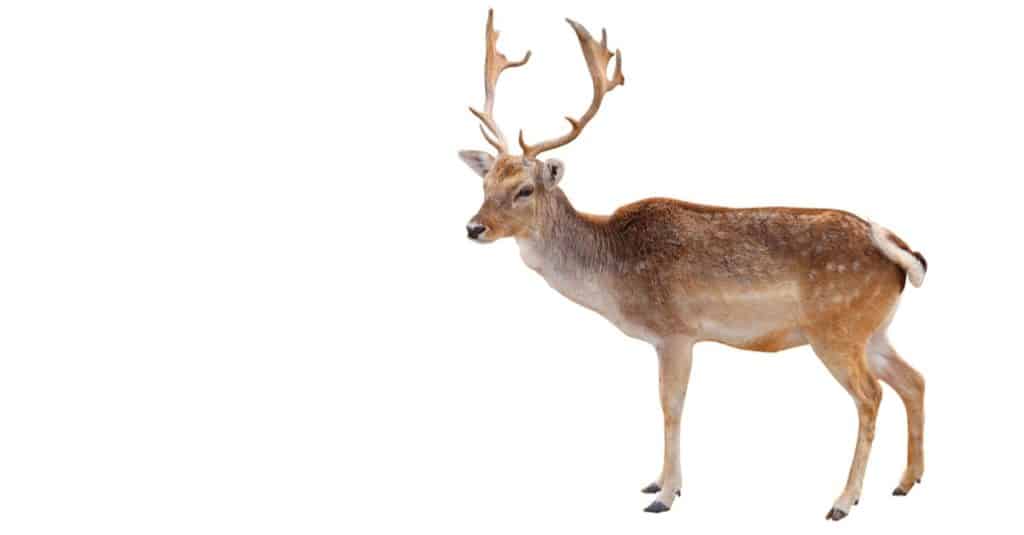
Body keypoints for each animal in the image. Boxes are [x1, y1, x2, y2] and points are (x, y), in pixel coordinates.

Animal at [458, 10, 927, 521]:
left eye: (524, 189)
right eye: (485, 183)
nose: (474, 227)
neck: (611, 274)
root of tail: (899, 248)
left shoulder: (676, 331)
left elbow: (671, 406)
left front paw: (664, 495)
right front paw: (658, 483)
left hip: (836, 327)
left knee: (871, 395)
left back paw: (843, 500)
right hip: (873, 329)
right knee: (913, 379)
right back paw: (907, 481)